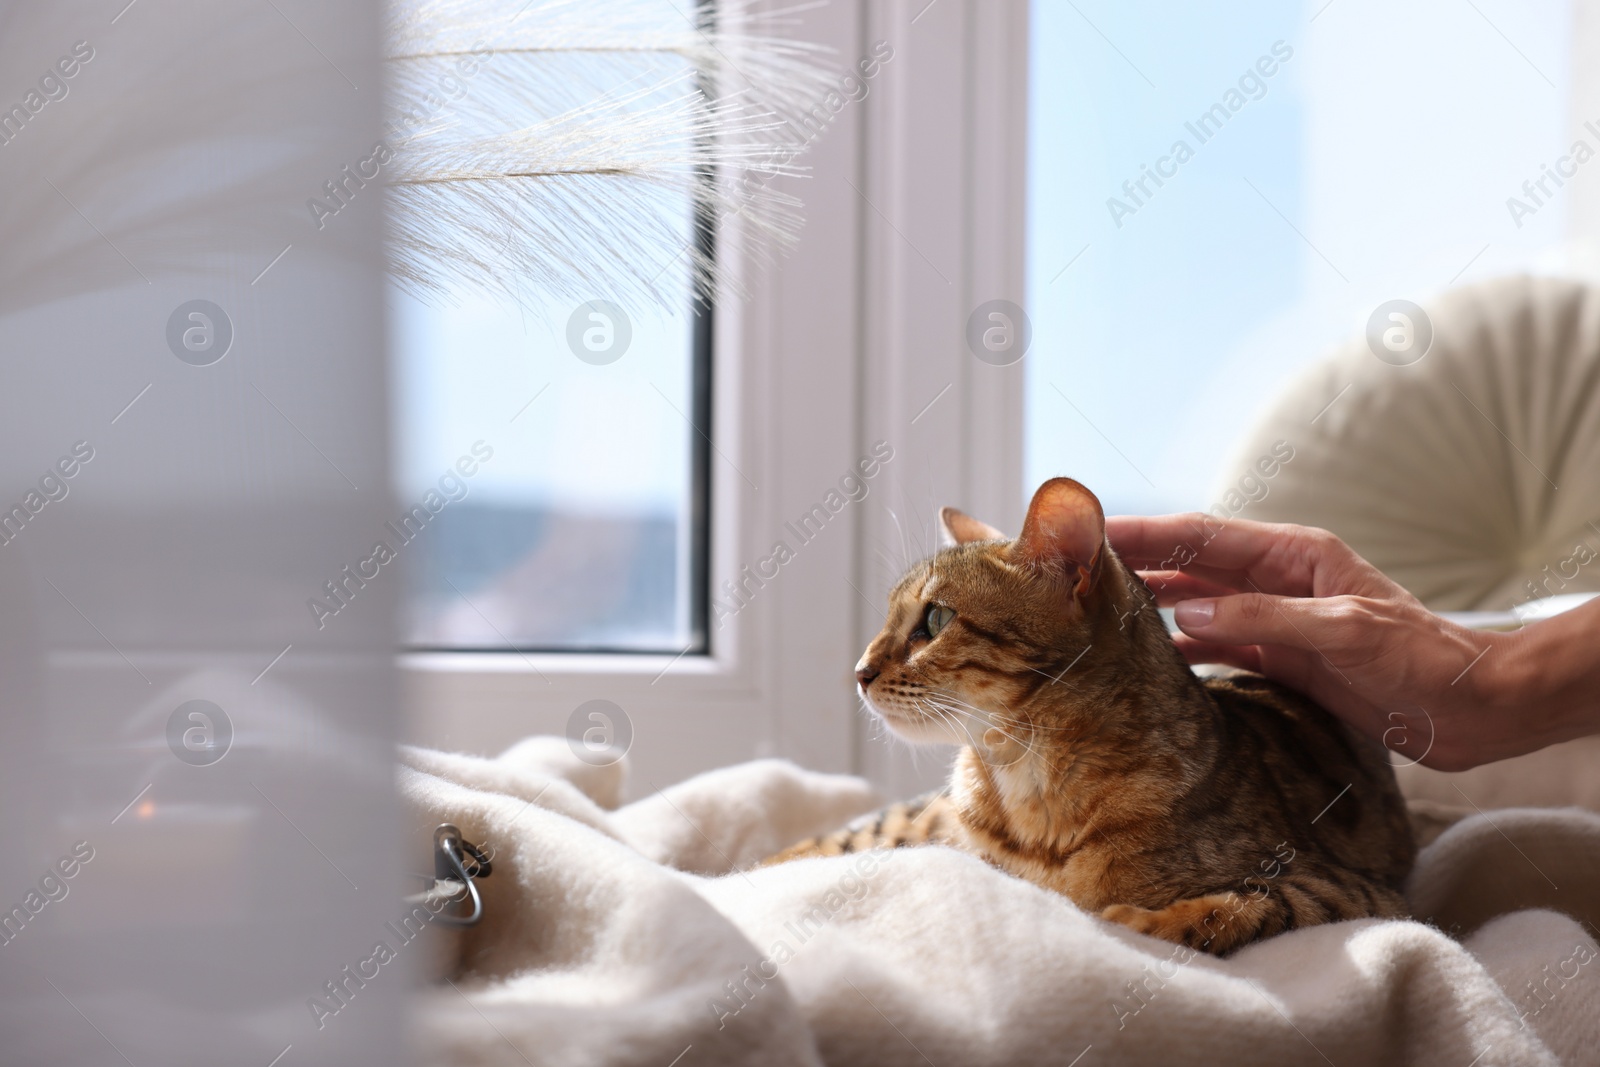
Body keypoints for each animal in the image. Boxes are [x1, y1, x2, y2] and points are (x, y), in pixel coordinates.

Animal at [768, 479, 1420, 953]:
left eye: (935, 619)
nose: (858, 670)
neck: (1026, 781)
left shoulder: (1360, 891)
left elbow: (1255, 903)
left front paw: (1148, 922)